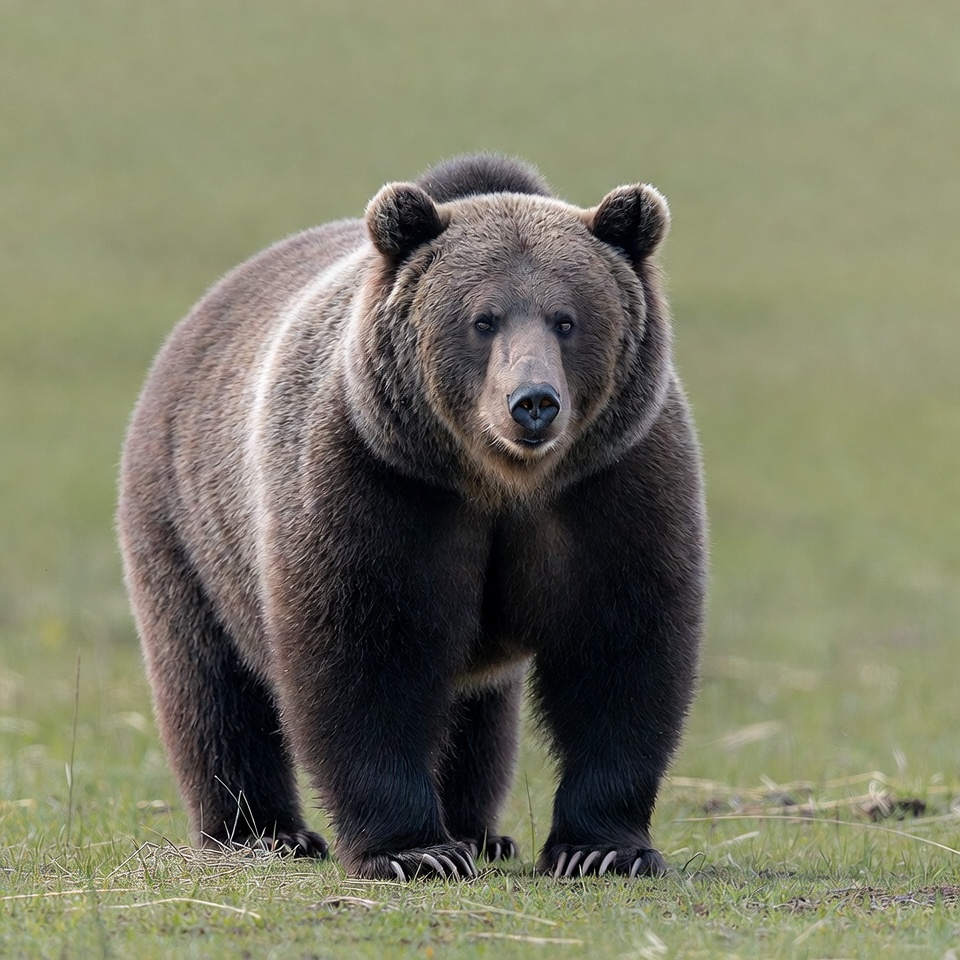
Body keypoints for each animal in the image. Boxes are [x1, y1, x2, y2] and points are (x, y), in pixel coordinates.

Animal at [118, 154, 707, 881]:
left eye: (566, 319)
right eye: (484, 319)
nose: (533, 403)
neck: (500, 483)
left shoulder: (612, 484)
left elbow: (621, 649)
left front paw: (601, 849)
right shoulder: (378, 483)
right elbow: (366, 654)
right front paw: (413, 851)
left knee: (478, 713)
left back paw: (480, 831)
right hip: (187, 528)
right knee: (211, 687)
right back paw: (261, 832)